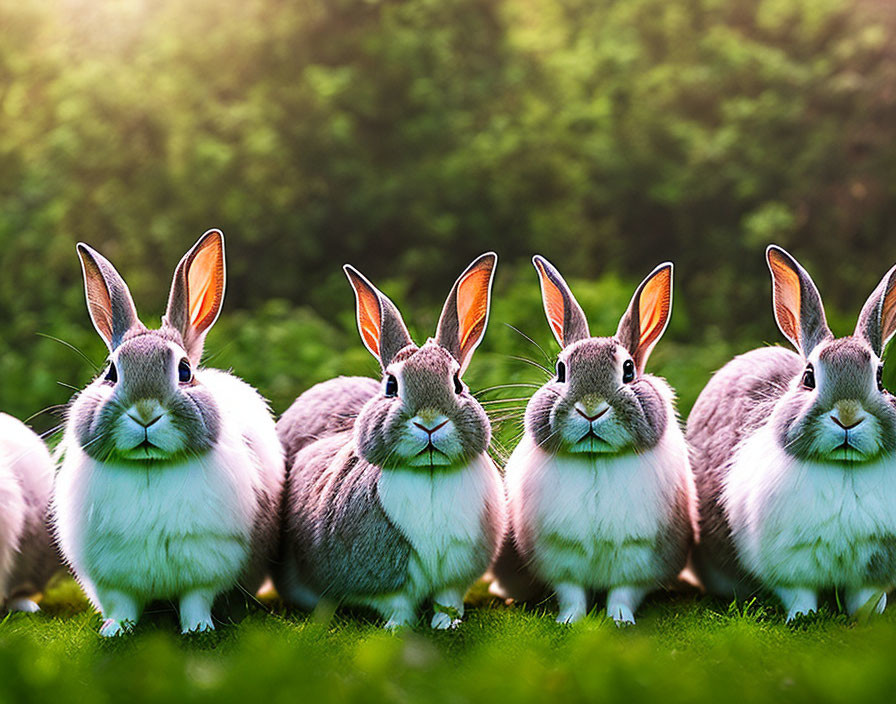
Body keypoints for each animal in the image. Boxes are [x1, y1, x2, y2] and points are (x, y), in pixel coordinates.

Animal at [53, 232, 284, 640]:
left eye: (185, 370)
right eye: (111, 372)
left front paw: (198, 630)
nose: (145, 413)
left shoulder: (207, 565)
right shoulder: (112, 577)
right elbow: (123, 605)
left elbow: (196, 600)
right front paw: (115, 631)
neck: (151, 467)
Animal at [276, 253, 508, 628]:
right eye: (391, 386)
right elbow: (396, 604)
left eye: (458, 383)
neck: (429, 474)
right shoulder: (382, 577)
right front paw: (398, 629)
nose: (430, 422)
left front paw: (447, 624)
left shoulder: (455, 575)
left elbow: (448, 599)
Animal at [494, 256, 696, 624]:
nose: (591, 409)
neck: (596, 459)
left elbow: (623, 593)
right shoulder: (560, 557)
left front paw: (621, 620)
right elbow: (571, 594)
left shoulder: (638, 558)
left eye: (628, 370)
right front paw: (569, 621)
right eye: (560, 371)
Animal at [688, 245, 896, 620]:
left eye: (880, 378)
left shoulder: (875, 564)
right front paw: (803, 618)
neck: (843, 468)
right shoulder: (790, 562)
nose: (847, 417)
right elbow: (800, 594)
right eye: (809, 377)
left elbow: (866, 597)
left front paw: (868, 619)